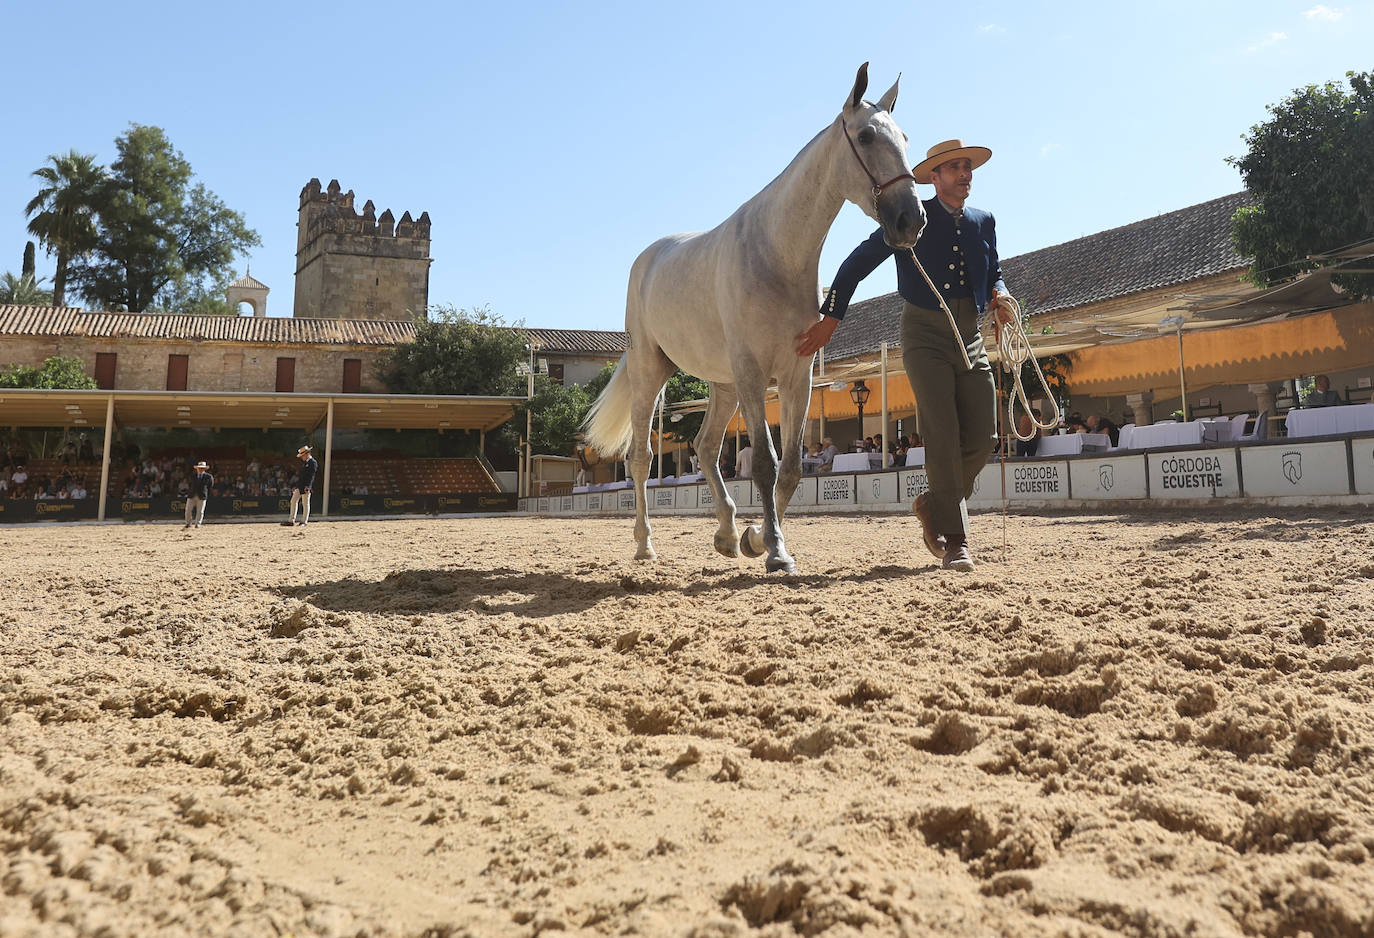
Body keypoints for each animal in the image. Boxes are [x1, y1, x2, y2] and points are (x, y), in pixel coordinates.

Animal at [584, 64, 925, 573]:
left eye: (904, 137)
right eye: (866, 136)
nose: (911, 219)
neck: (775, 254)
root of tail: (649, 258)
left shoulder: (796, 376)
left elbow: (791, 468)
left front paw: (756, 539)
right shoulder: (753, 374)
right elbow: (764, 462)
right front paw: (776, 551)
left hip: (722, 385)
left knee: (705, 447)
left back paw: (726, 533)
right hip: (653, 373)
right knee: (641, 458)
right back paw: (645, 545)